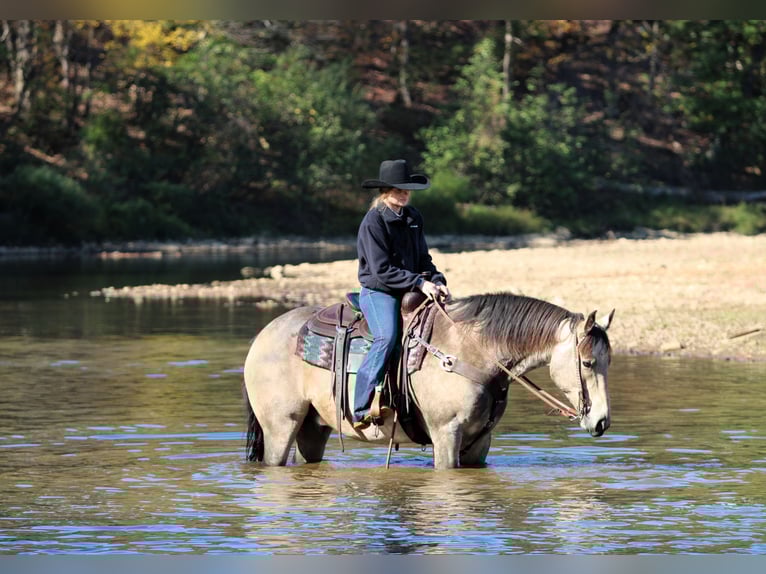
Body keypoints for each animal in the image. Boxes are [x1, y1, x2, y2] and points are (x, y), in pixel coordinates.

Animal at [243, 292, 615, 470]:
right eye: (587, 362)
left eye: (608, 361)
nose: (601, 422)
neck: (472, 351)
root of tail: (263, 336)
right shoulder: (446, 433)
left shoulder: (480, 441)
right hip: (281, 426)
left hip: (311, 428)